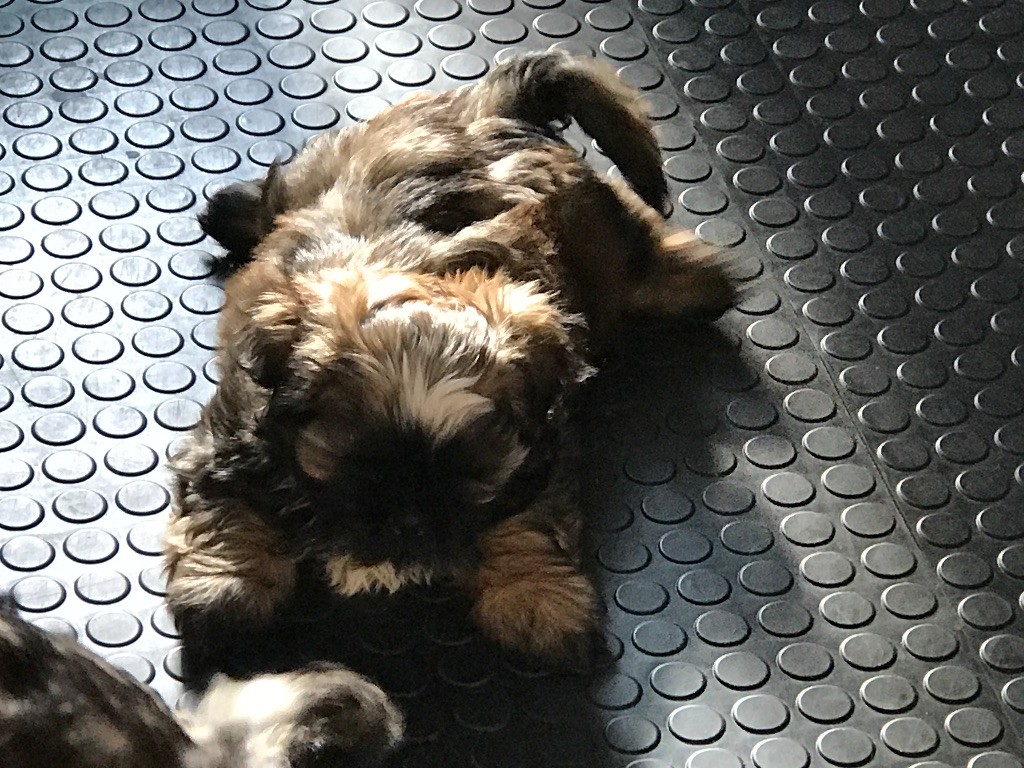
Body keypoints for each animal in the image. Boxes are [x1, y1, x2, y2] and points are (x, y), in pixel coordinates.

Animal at [164, 50, 734, 671]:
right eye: (359, 460)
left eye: (468, 468)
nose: (410, 520)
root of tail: (493, 112)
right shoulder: (232, 436)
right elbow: (227, 508)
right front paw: (225, 586)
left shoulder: (538, 453)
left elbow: (528, 522)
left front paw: (537, 599)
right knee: (277, 190)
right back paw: (234, 210)